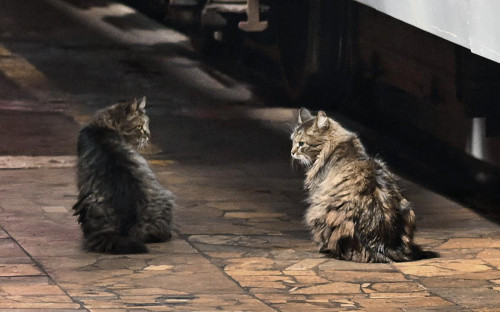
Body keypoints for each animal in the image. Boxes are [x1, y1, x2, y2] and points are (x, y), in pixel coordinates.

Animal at [292, 108, 436, 262]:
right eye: (293, 141)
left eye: (301, 143)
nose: (292, 152)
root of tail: (383, 245)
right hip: (407, 209)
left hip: (320, 211)